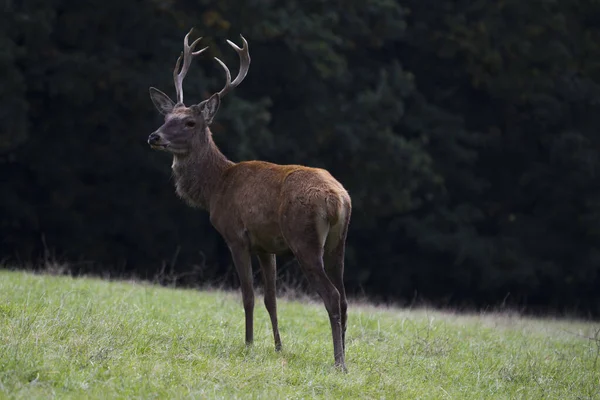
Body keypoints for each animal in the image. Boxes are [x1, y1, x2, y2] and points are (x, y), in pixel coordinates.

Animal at [146, 28, 352, 372]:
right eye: (167, 116)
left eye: (189, 122)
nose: (154, 136)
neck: (216, 187)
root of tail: (338, 199)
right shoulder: (266, 245)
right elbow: (271, 298)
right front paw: (279, 347)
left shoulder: (236, 235)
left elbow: (248, 296)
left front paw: (248, 344)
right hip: (338, 244)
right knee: (345, 297)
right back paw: (345, 356)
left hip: (305, 240)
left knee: (332, 296)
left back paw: (338, 362)